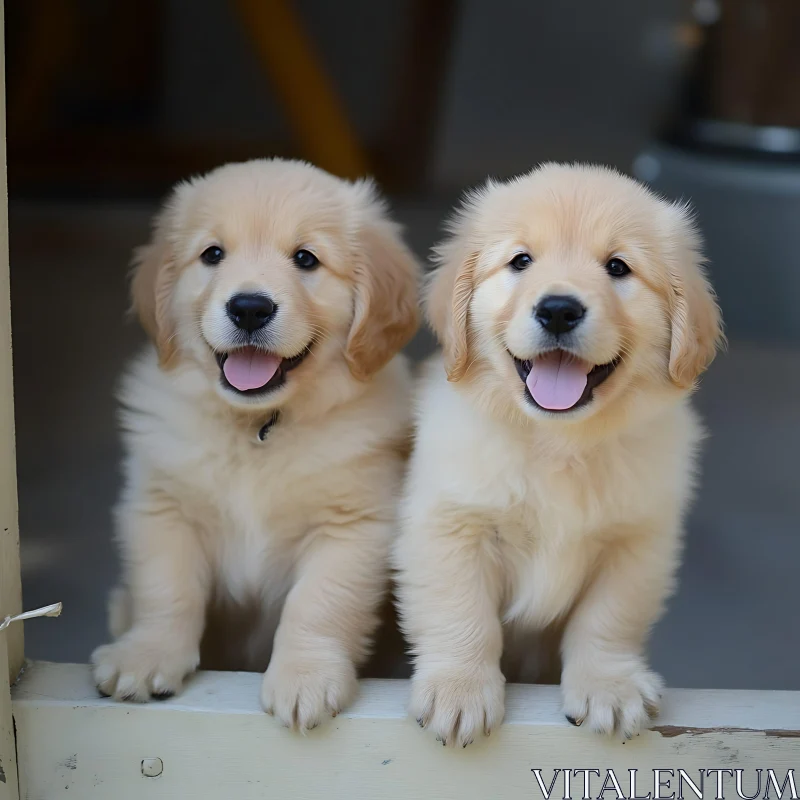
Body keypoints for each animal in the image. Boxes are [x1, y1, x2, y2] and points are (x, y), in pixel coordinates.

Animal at [91, 158, 422, 732]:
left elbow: (318, 603)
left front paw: (305, 677)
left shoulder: (352, 526)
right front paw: (146, 656)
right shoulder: (162, 508)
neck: (257, 428)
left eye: (306, 258)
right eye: (212, 254)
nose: (249, 307)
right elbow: (165, 589)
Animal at [396, 166, 724, 748]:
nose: (558, 309)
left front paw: (609, 688)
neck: (558, 444)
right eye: (520, 260)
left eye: (617, 267)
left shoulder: (637, 541)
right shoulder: (449, 525)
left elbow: (608, 617)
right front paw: (459, 691)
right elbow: (461, 610)